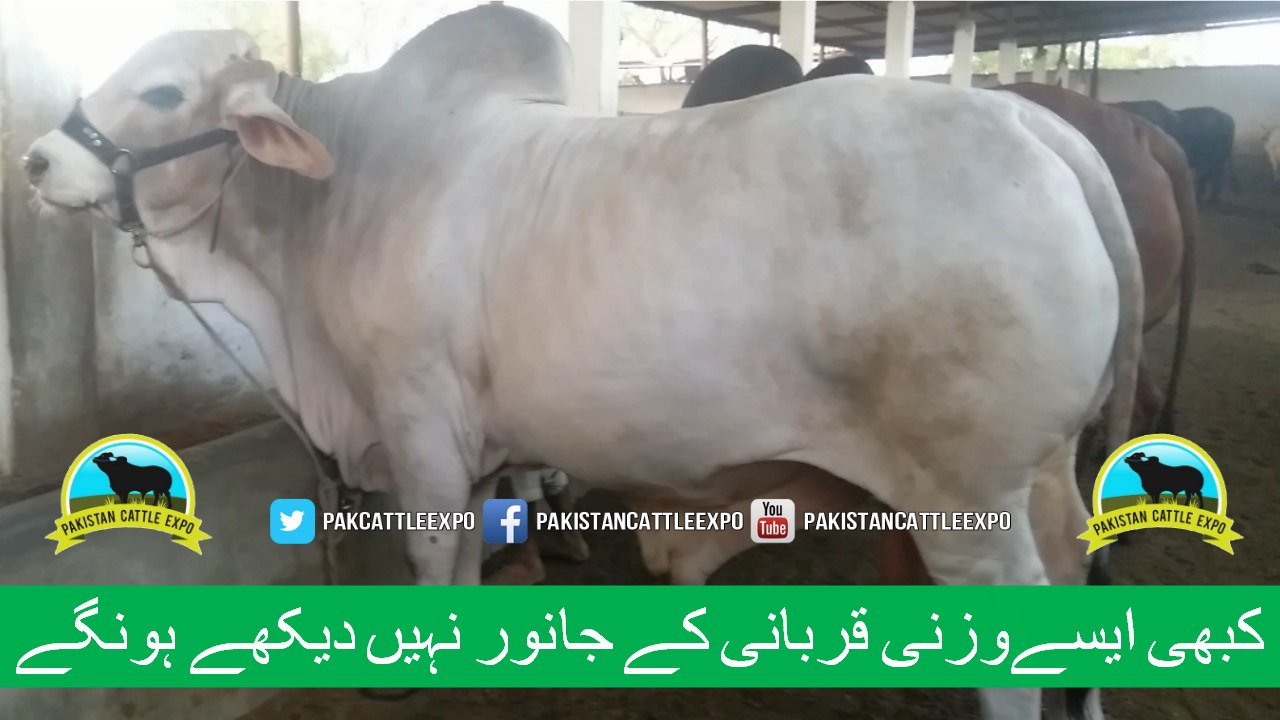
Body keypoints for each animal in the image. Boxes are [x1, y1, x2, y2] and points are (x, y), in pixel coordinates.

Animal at [26, 7, 1142, 718]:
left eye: (163, 90)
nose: (37, 159)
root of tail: (1032, 124)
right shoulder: (472, 442)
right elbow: (469, 554)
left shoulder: (415, 416)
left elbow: (428, 553)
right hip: (1044, 475)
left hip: (966, 497)